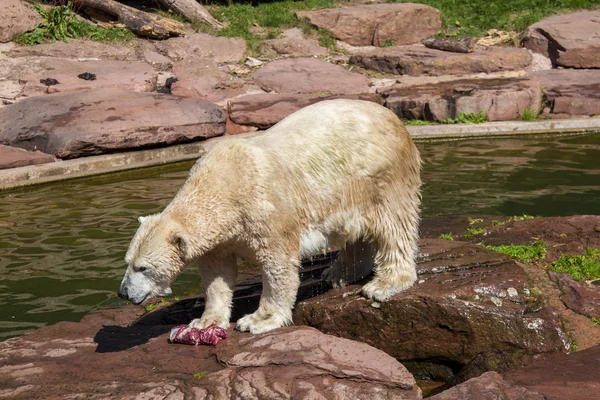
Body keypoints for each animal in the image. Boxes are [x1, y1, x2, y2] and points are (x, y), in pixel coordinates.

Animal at [118, 100, 422, 334]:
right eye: (128, 262)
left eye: (143, 268)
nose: (123, 293)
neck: (221, 184)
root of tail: (395, 119)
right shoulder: (220, 239)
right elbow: (217, 273)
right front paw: (204, 322)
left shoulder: (266, 213)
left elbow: (278, 265)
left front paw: (257, 320)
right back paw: (338, 273)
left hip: (381, 175)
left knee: (393, 226)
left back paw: (383, 284)